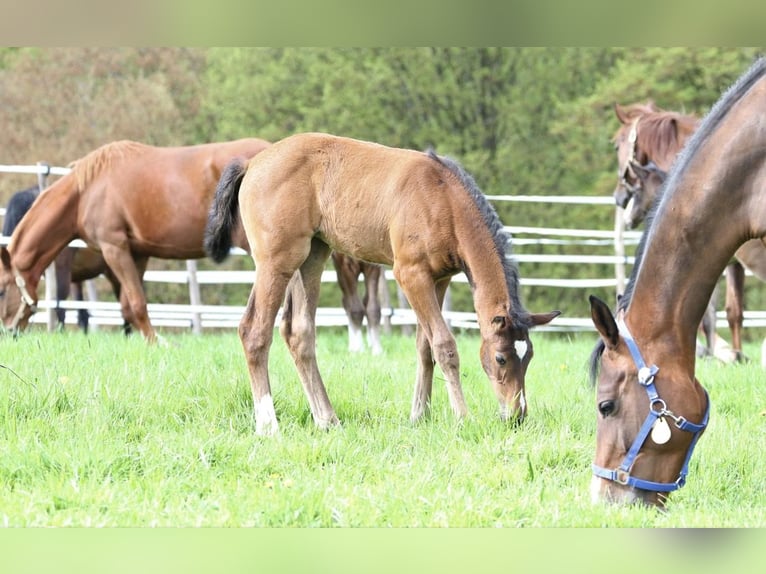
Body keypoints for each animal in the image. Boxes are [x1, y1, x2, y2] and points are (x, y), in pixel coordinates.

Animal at [0, 137, 272, 340]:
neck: (86, 191)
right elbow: (129, 307)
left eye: (2, 290)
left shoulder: (114, 248)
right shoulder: (137, 254)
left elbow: (136, 304)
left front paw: (158, 343)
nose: (8, 332)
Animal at [206, 132, 560, 436]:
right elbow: (444, 345)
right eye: (501, 358)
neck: (444, 200)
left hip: (312, 256)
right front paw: (462, 418)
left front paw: (419, 415)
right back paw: (269, 425)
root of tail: (252, 164)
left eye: (528, 356)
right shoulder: (411, 274)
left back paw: (327, 419)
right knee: (254, 331)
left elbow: (424, 346)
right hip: (276, 261)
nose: (516, 415)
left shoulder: (440, 278)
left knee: (299, 333)